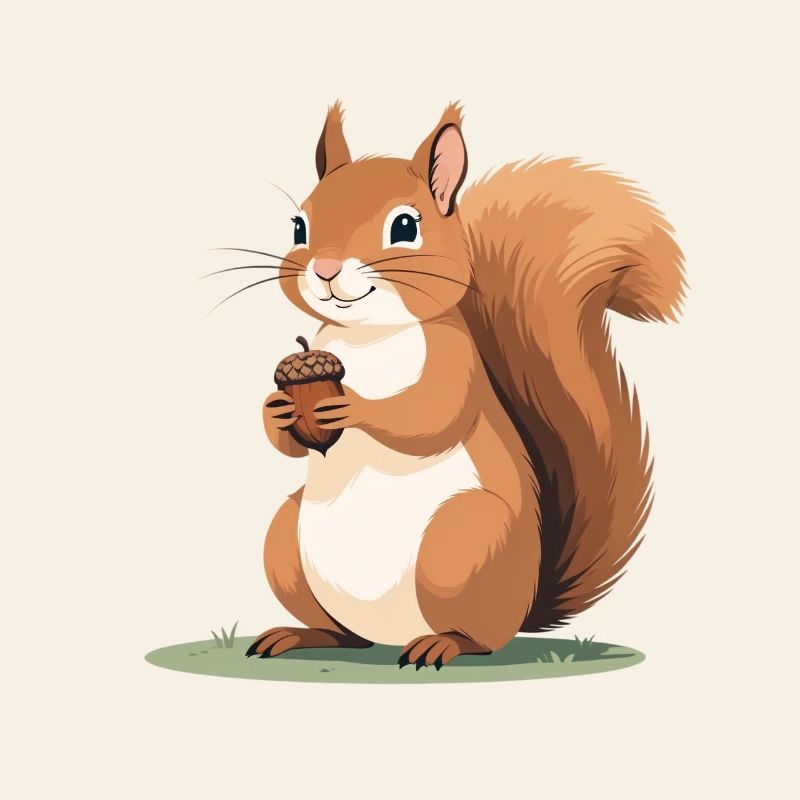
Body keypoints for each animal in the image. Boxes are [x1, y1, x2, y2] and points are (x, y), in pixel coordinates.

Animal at [247, 102, 685, 668]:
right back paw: (300, 635)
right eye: (299, 226)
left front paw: (354, 408)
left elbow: (430, 416)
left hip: (462, 540)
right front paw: (277, 409)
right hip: (288, 540)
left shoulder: (455, 362)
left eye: (405, 226)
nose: (324, 268)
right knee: (344, 634)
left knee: (479, 637)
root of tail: (524, 604)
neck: (367, 334)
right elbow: (288, 443)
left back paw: (442, 644)